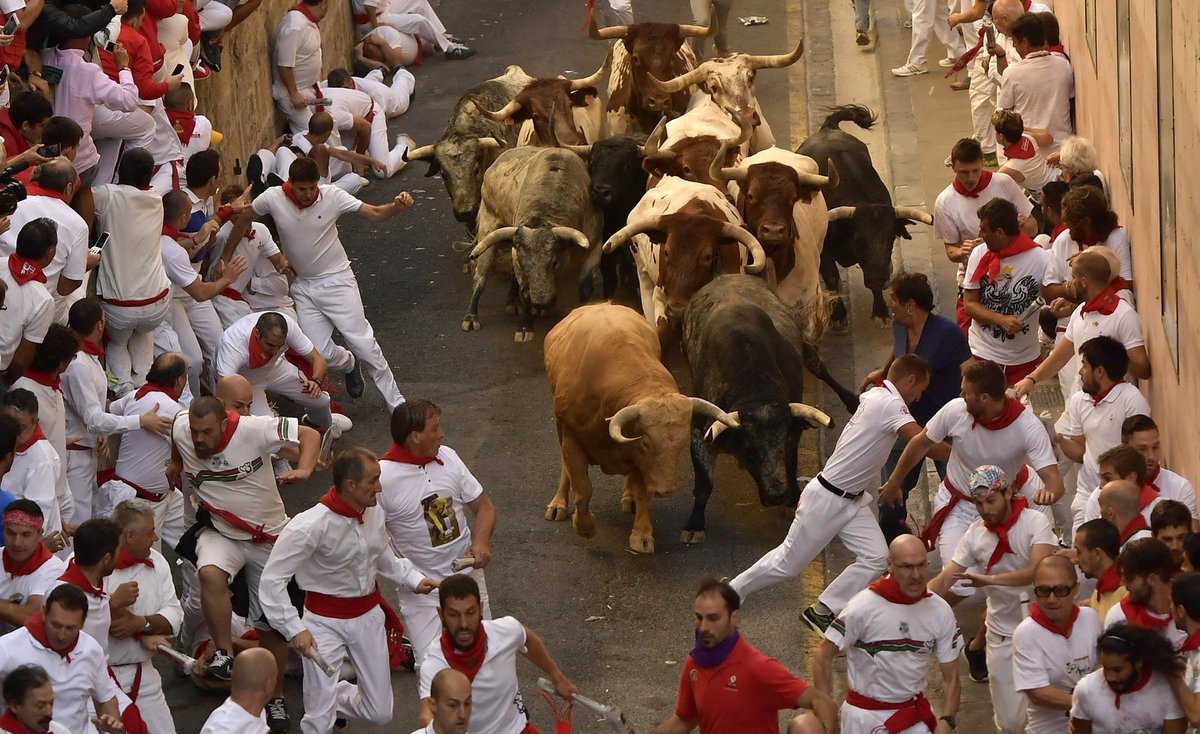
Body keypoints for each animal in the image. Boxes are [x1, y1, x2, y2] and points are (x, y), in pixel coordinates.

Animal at [547, 302, 739, 551]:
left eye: (682, 445)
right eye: (647, 442)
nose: (665, 489)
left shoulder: (637, 456)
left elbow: (642, 493)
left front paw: (642, 534)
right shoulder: (573, 438)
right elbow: (582, 488)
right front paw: (585, 526)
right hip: (560, 428)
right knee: (566, 469)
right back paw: (558, 504)